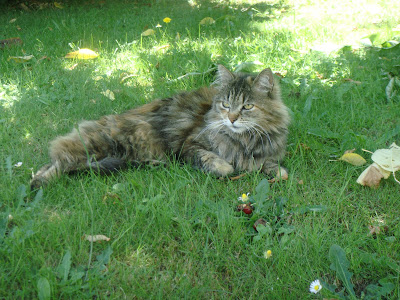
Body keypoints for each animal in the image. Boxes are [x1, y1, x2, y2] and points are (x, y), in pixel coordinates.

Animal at [29, 65, 290, 190]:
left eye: (247, 106)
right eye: (226, 105)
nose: (232, 119)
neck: (245, 140)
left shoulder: (264, 153)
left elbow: (275, 169)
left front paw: (275, 171)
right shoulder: (189, 145)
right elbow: (221, 165)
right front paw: (226, 166)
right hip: (104, 143)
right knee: (58, 161)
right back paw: (38, 184)